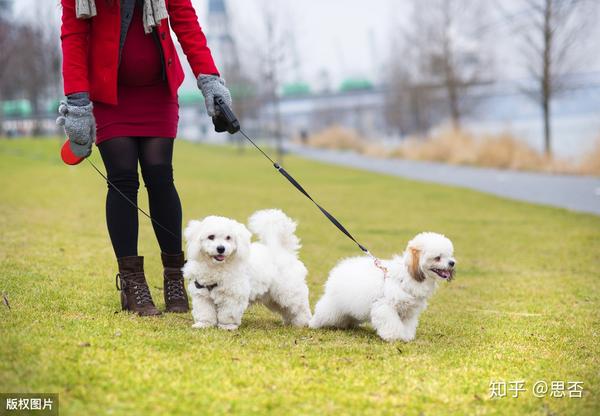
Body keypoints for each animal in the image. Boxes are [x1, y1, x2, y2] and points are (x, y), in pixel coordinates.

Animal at [183, 210, 312, 330]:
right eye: (211, 237)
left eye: (228, 238)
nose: (221, 248)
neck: (217, 266)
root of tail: (282, 250)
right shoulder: (202, 295)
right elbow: (205, 312)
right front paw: (204, 324)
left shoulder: (233, 295)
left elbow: (228, 313)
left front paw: (227, 326)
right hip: (273, 297)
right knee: (286, 310)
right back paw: (290, 323)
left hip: (288, 291)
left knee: (300, 308)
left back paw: (302, 323)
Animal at [310, 232, 454, 342]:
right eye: (437, 257)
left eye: (449, 255)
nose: (452, 263)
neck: (407, 276)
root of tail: (340, 267)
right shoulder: (385, 306)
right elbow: (392, 323)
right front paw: (395, 337)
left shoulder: (409, 311)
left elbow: (407, 325)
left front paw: (406, 336)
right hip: (332, 307)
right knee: (324, 313)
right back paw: (313, 323)